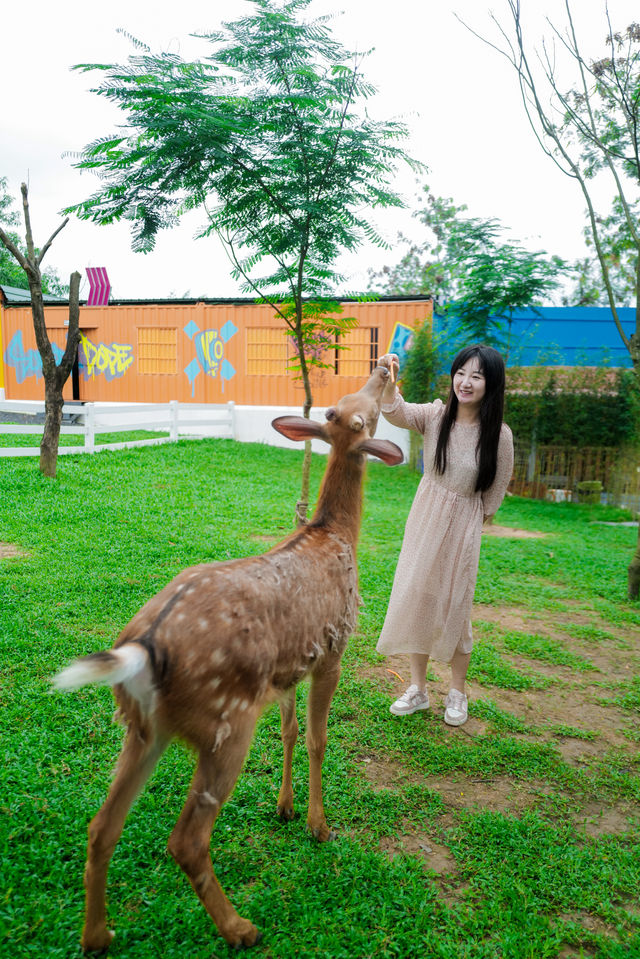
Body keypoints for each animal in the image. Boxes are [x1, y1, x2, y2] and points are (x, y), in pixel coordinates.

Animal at [55, 366, 402, 952]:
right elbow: (317, 739)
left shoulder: (286, 671)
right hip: (226, 721)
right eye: (364, 414)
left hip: (144, 727)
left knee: (101, 825)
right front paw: (318, 825)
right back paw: (240, 928)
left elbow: (288, 731)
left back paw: (97, 935)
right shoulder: (333, 650)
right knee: (186, 839)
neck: (336, 536)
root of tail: (143, 650)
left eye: (346, 405)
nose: (384, 367)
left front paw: (285, 809)